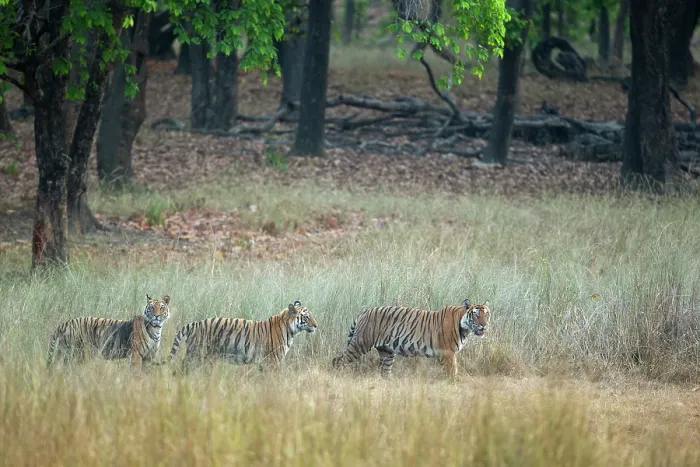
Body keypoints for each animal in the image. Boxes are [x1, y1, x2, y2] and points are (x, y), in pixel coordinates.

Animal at [168, 300, 318, 373]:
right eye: (306, 316)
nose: (316, 326)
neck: (290, 330)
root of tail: (194, 324)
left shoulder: (264, 363)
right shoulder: (272, 361)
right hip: (196, 355)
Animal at [331, 299, 491, 378]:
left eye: (486, 314)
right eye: (476, 315)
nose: (484, 325)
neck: (465, 327)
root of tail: (364, 311)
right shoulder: (448, 353)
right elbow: (452, 372)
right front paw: (454, 384)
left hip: (386, 352)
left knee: (385, 372)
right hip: (360, 344)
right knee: (338, 361)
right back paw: (339, 376)